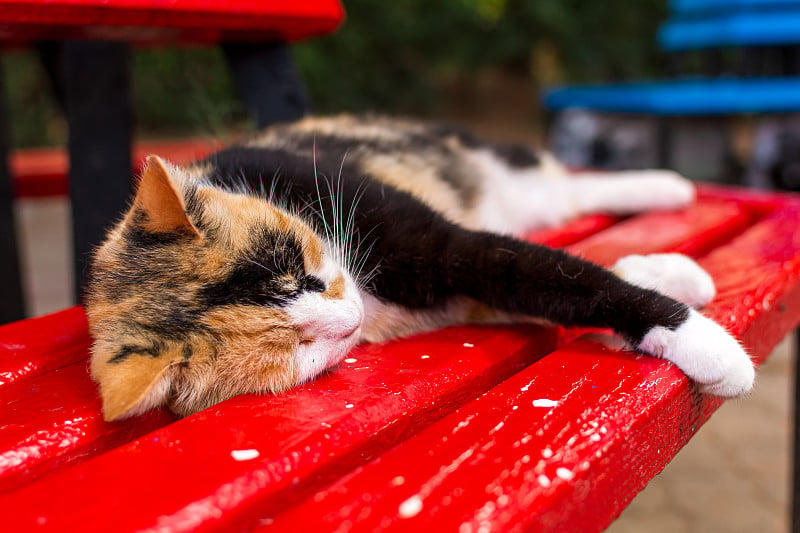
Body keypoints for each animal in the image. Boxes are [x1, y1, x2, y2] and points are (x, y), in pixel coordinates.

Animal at [87, 115, 756, 420]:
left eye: (300, 269)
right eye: (294, 350)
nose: (351, 318)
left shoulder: (427, 239)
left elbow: (543, 270)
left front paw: (707, 346)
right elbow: (540, 281)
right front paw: (672, 284)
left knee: (561, 191)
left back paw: (667, 186)